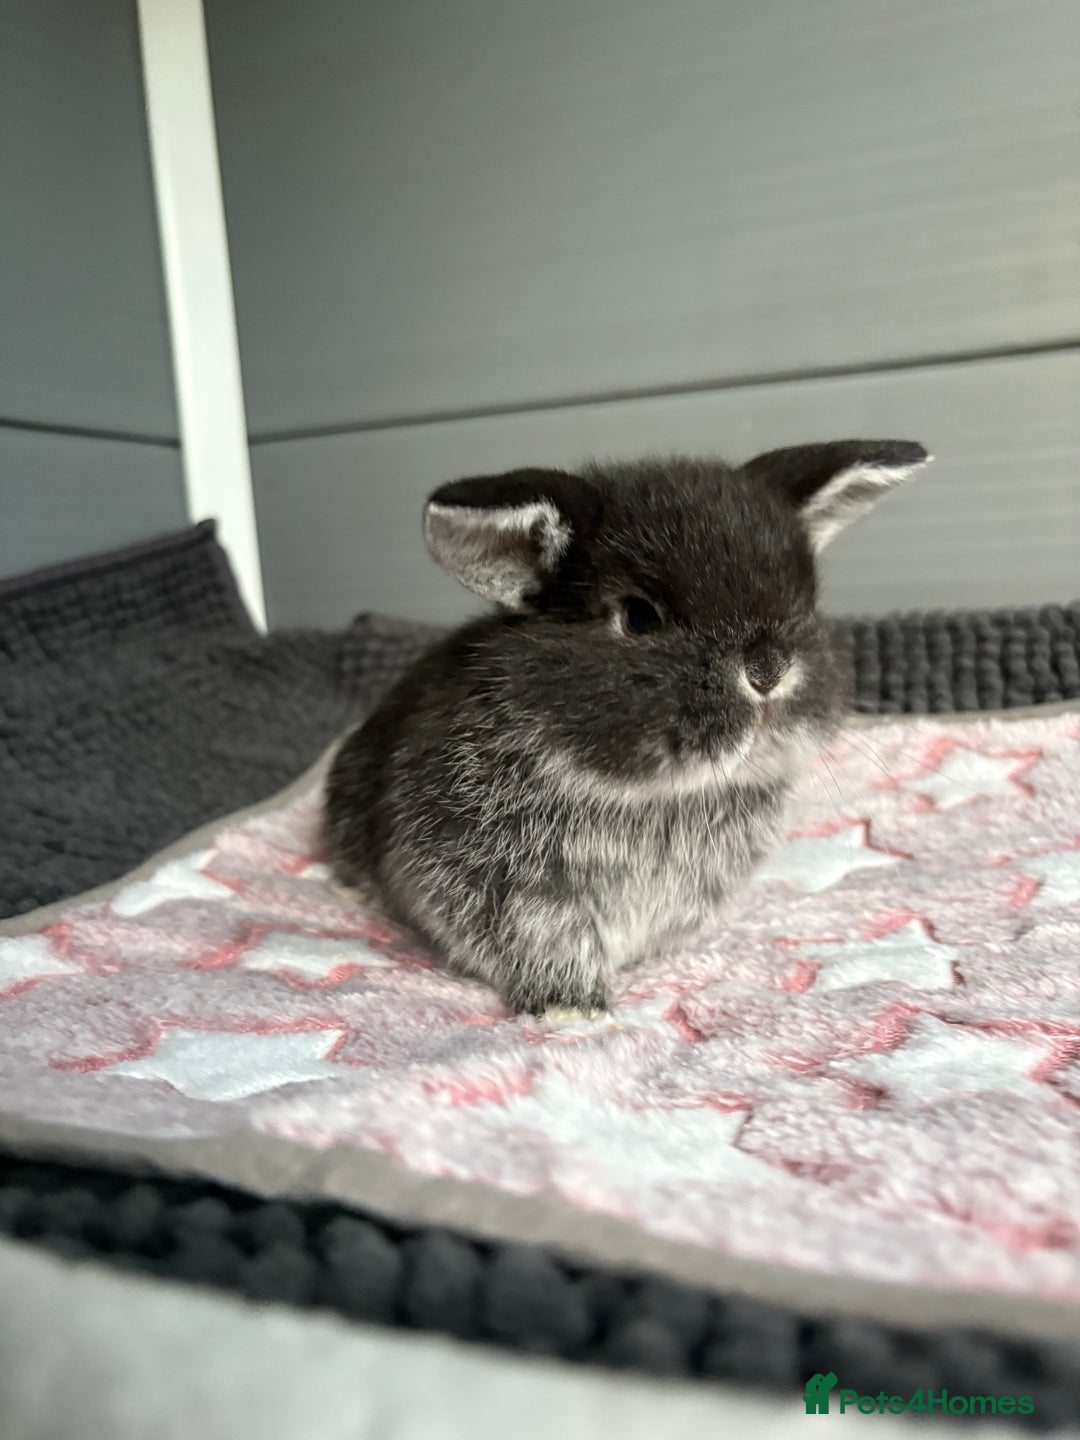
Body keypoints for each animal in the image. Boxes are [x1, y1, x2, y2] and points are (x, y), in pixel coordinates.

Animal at [322, 440, 930, 1017]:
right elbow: (548, 945)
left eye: (805, 604)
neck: (659, 795)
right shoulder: (508, 891)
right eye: (639, 618)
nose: (767, 670)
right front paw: (570, 1007)